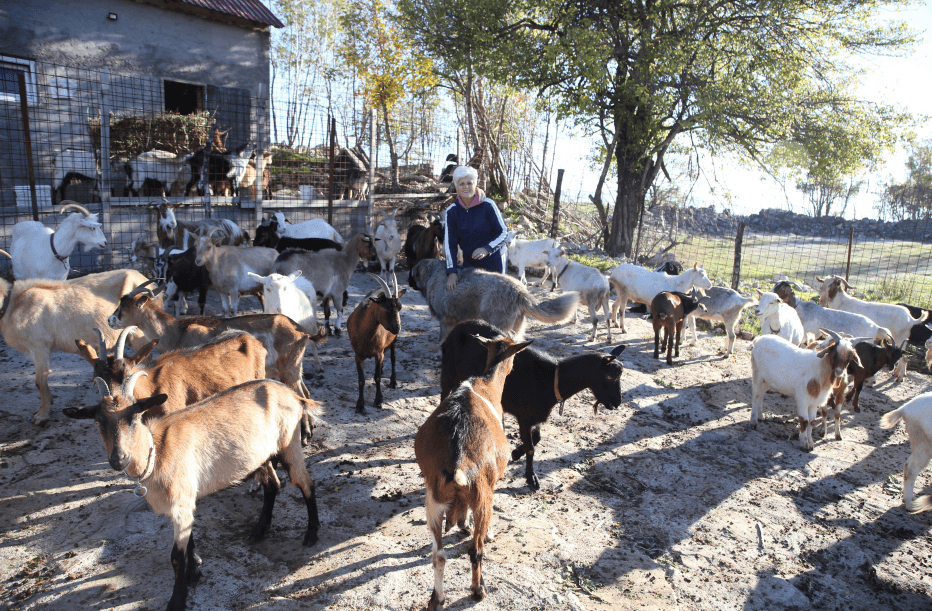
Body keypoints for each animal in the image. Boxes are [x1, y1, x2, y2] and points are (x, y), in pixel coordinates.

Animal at [64, 378, 320, 611]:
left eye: (134, 417)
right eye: (98, 421)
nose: (119, 459)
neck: (157, 453)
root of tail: (293, 395)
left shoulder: (181, 500)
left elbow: (176, 557)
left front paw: (177, 600)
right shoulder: (182, 501)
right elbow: (189, 539)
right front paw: (194, 571)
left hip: (289, 444)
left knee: (306, 484)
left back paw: (311, 534)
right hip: (261, 455)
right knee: (272, 485)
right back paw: (259, 530)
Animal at [344, 274, 406, 414]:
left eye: (399, 308)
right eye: (386, 308)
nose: (397, 328)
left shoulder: (378, 353)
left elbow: (377, 378)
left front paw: (378, 400)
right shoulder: (358, 355)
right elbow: (361, 380)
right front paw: (360, 405)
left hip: (393, 341)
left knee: (393, 358)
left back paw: (393, 382)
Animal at [410, 258, 580, 344]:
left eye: (412, 273)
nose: (408, 282)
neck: (434, 275)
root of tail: (520, 291)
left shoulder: (446, 321)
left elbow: (443, 338)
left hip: (497, 323)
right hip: (515, 325)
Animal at [414, 334, 536, 611]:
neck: (486, 383)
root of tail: (457, 462)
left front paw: (462, 524)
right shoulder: (492, 483)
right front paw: (487, 533)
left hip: (433, 501)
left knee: (438, 554)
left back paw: (437, 599)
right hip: (482, 495)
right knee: (474, 550)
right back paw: (478, 590)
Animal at [438, 320, 628, 492]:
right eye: (610, 376)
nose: (617, 403)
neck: (551, 379)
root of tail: (458, 326)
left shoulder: (535, 417)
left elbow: (536, 439)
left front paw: (516, 453)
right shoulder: (524, 417)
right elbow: (531, 449)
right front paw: (531, 479)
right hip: (448, 374)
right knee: (443, 397)